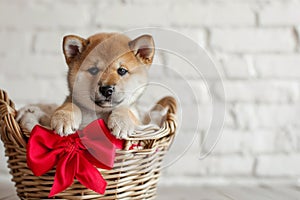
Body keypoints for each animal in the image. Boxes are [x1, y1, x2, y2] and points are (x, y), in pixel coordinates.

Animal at [17, 32, 155, 139]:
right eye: (93, 70)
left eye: (121, 70)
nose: (106, 89)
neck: (99, 113)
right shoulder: (69, 102)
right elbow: (69, 105)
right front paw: (64, 119)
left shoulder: (138, 120)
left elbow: (125, 109)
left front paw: (121, 123)